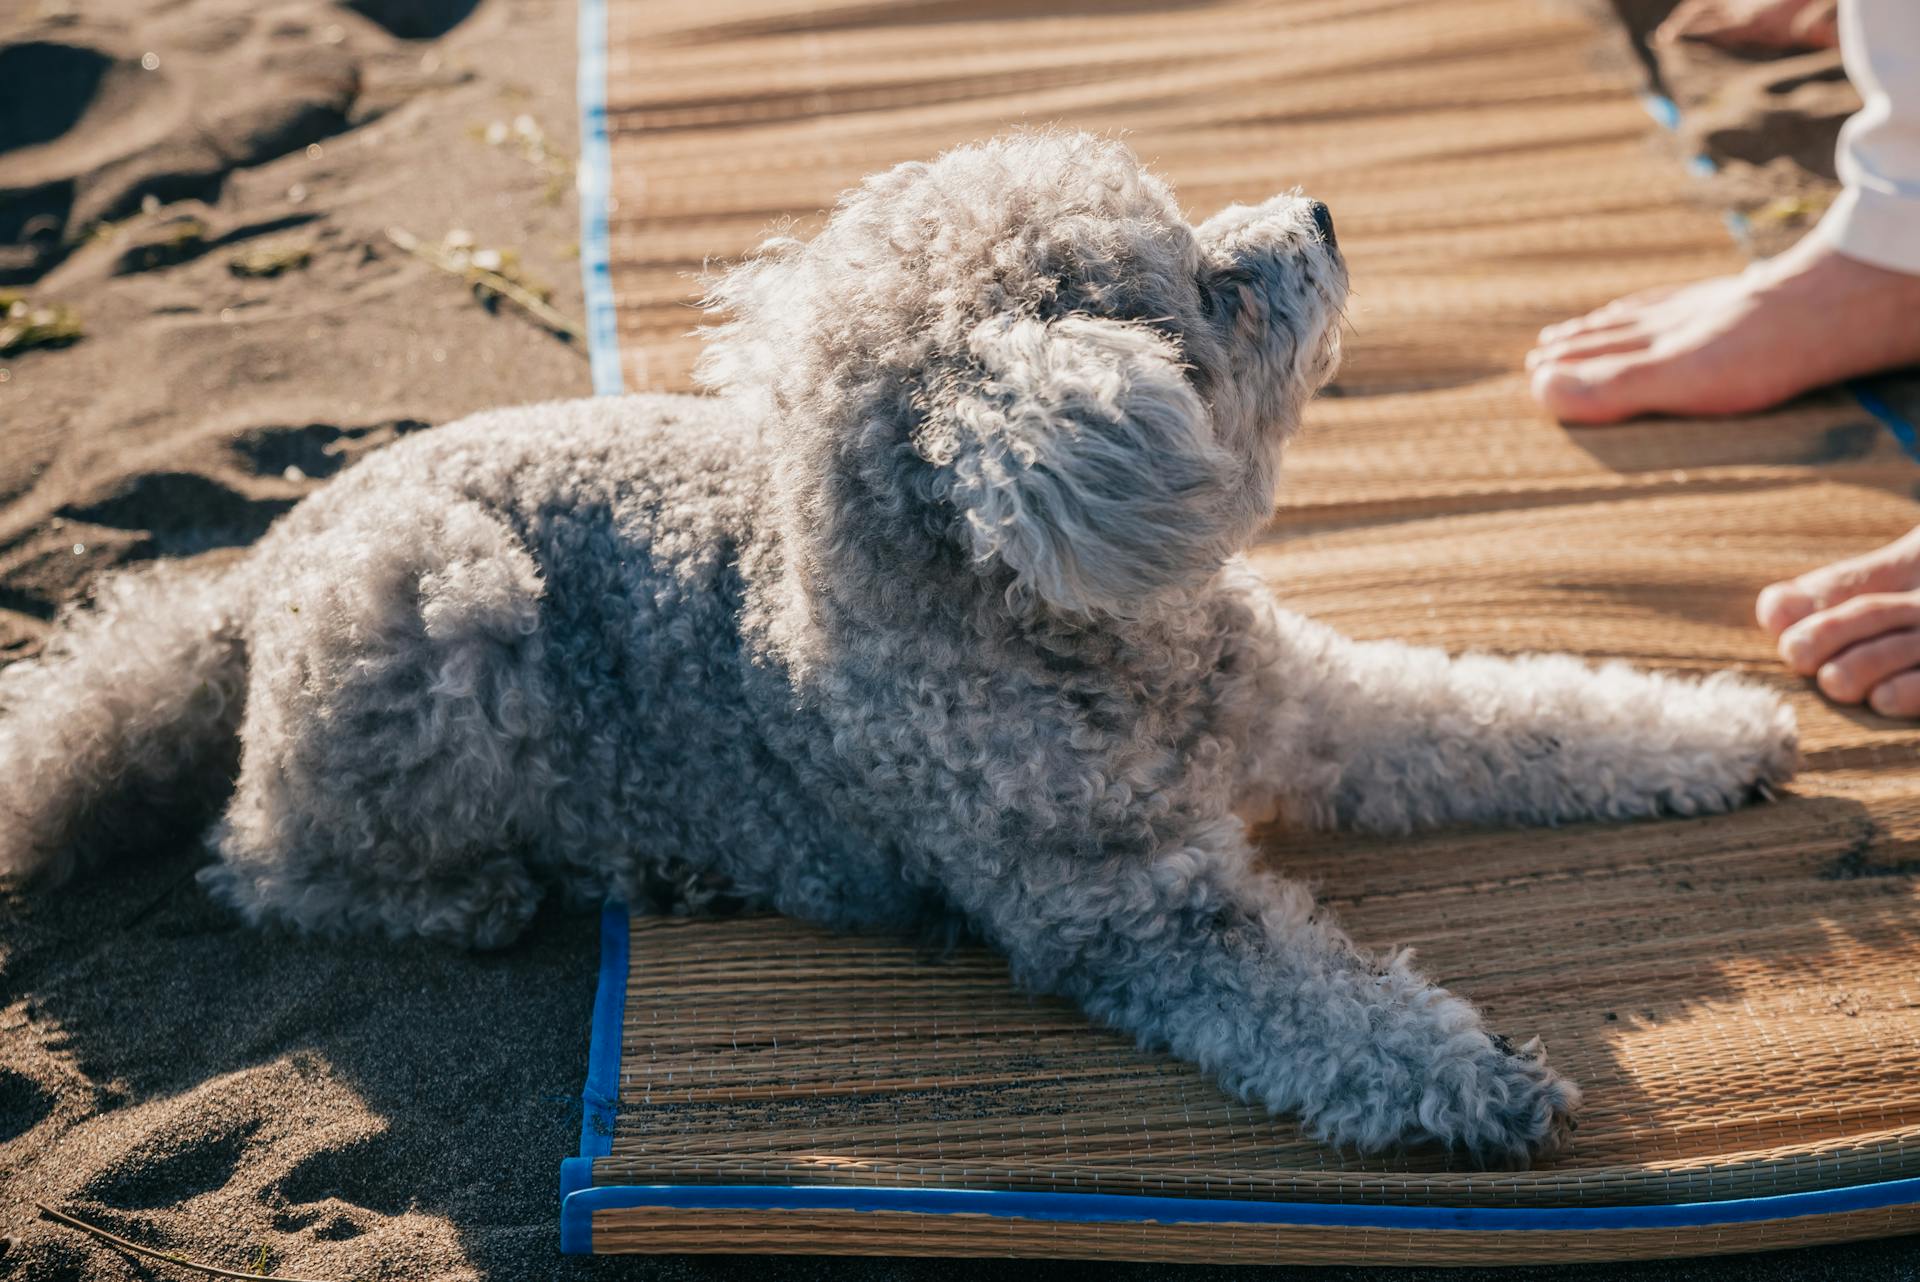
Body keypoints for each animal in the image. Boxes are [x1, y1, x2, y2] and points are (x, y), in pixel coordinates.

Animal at [3, 135, 1797, 1166]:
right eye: (1206, 285)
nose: (1322, 209)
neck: (1080, 641)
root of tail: (271, 553)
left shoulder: (1322, 708)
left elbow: (1515, 711)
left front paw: (1716, 733)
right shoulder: (1131, 916)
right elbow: (1317, 1005)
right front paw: (1466, 1076)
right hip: (442, 605)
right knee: (260, 856)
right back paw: (477, 894)